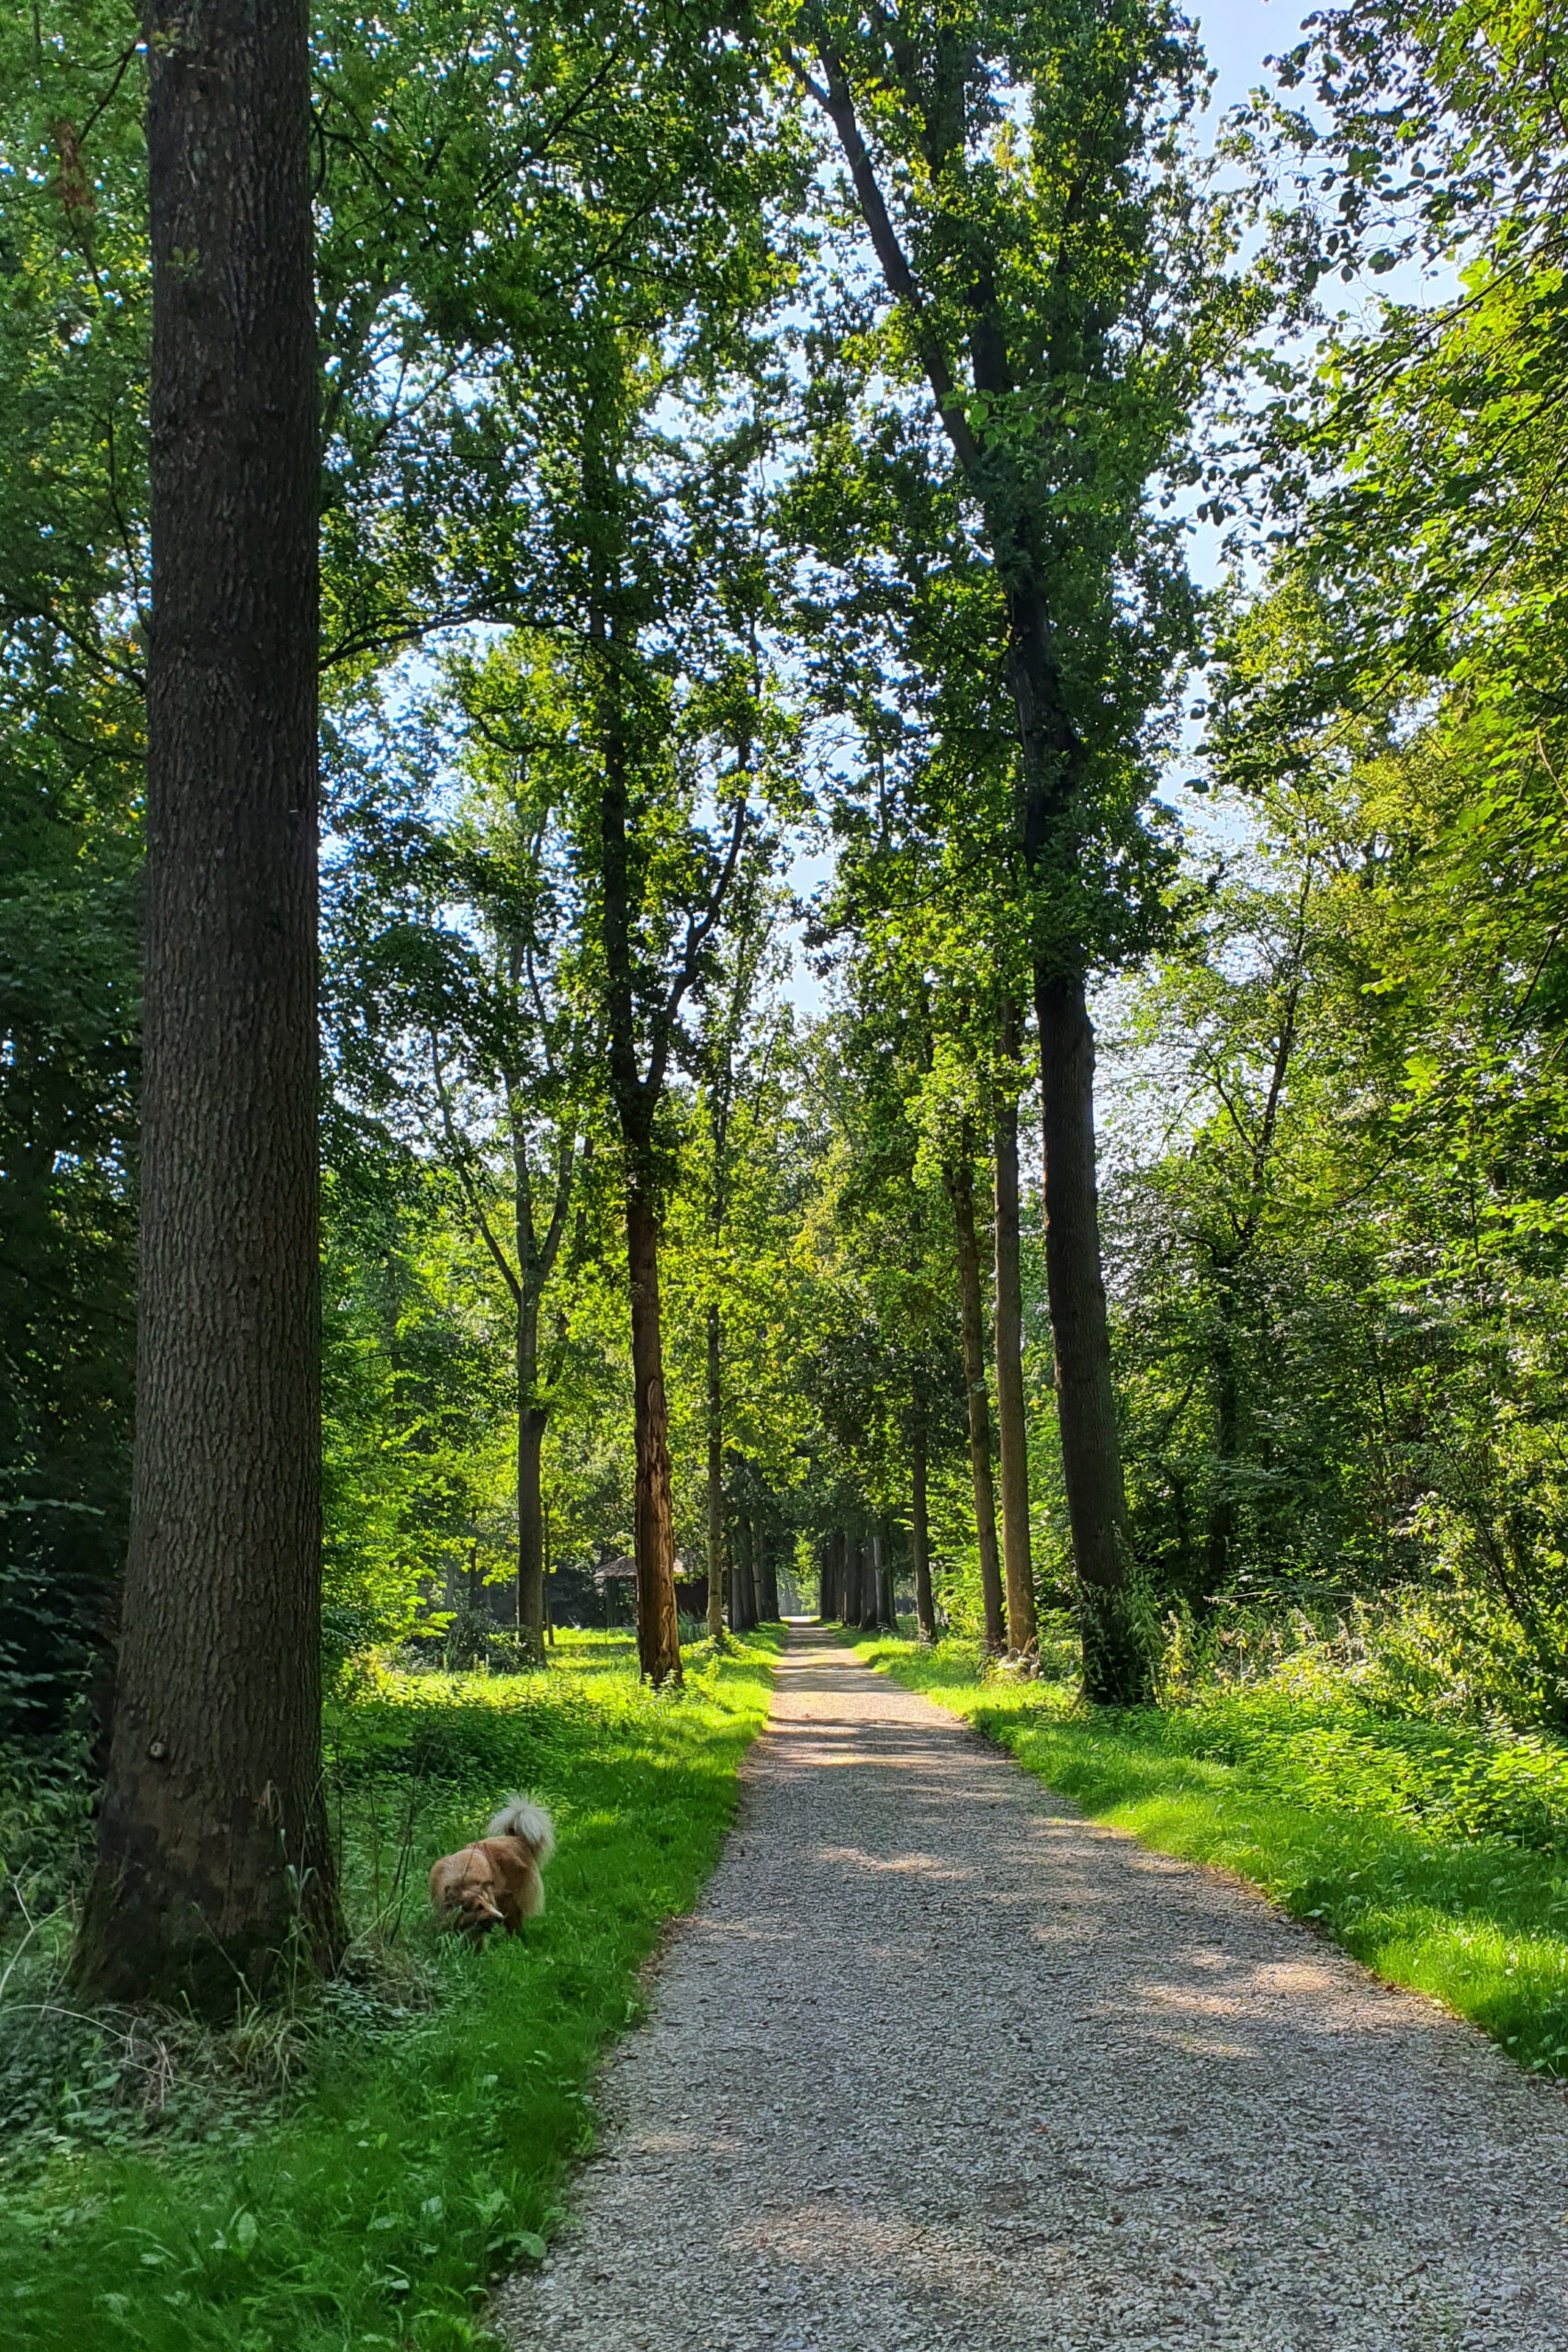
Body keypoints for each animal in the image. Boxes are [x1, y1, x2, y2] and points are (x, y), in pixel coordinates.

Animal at [425, 1796, 554, 1947]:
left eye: (488, 1904)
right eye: (478, 1907)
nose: (499, 1917)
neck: (462, 1880)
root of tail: (517, 1838)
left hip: (509, 1901)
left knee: (515, 1924)